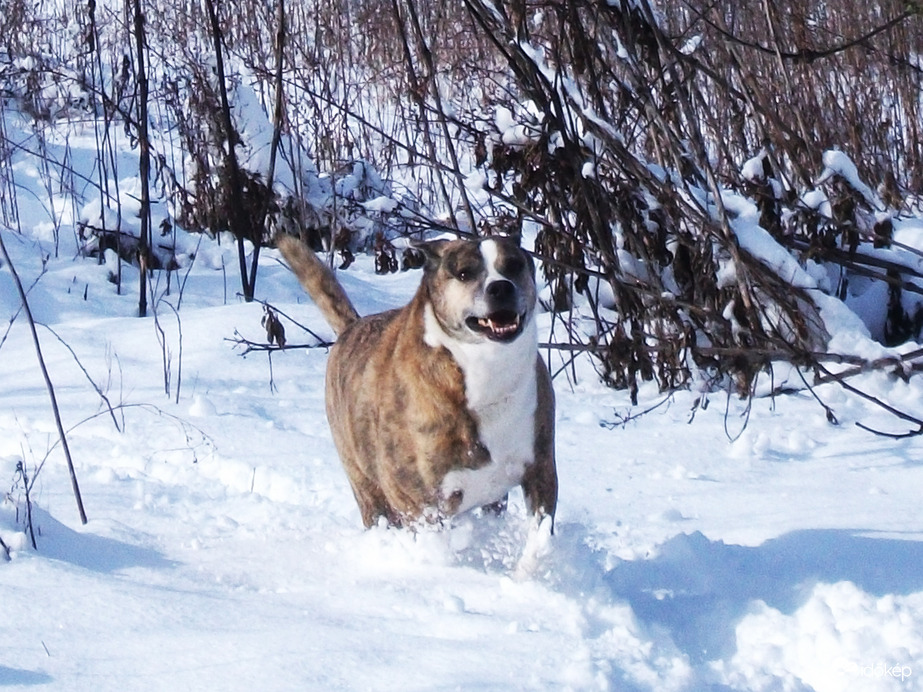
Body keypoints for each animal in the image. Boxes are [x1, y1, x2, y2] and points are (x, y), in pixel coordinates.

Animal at [278, 232, 560, 528]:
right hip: (364, 482)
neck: (485, 366)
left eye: (514, 266)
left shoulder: (540, 469)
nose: (501, 288)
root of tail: (350, 327)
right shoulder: (418, 501)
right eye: (464, 273)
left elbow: (540, 529)